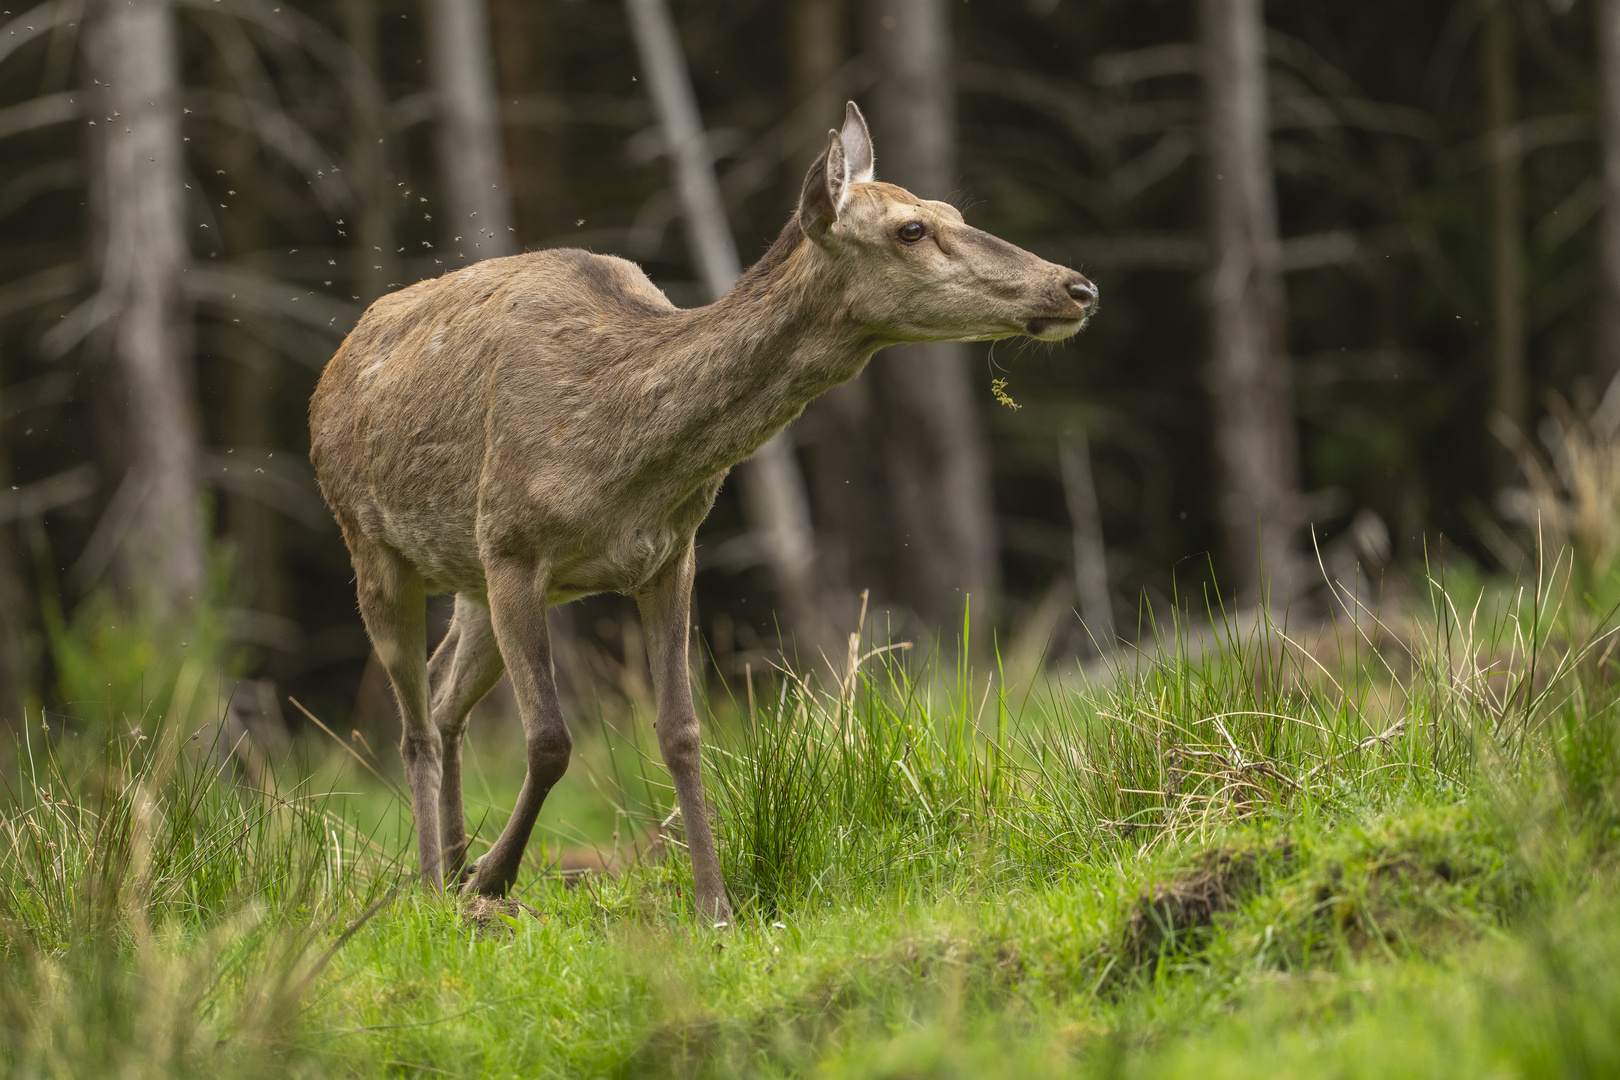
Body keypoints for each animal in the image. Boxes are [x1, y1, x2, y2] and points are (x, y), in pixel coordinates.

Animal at [309, 101, 1095, 919]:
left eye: (953, 211)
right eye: (911, 229)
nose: (1078, 288)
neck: (618, 456)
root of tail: (333, 366)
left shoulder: (671, 553)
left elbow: (682, 731)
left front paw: (714, 904)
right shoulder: (513, 546)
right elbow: (551, 740)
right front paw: (495, 877)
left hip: (468, 579)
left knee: (442, 696)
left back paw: (453, 860)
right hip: (376, 546)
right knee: (415, 726)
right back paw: (438, 882)